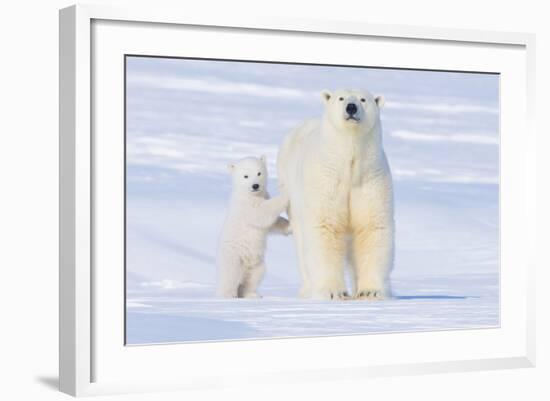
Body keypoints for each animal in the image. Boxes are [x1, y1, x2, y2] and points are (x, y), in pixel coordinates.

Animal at [280, 88, 392, 300]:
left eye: (363, 99)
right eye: (341, 98)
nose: (351, 107)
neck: (349, 166)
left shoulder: (370, 179)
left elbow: (371, 227)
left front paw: (370, 291)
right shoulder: (326, 181)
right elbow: (325, 227)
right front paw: (333, 292)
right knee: (302, 244)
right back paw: (308, 289)